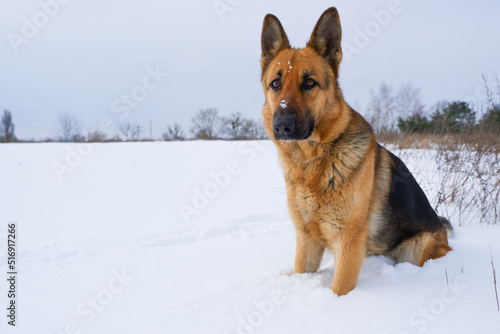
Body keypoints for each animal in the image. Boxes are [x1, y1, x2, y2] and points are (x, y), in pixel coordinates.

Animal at [260, 7, 452, 294]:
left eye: (309, 83)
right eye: (275, 84)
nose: (282, 126)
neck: (314, 161)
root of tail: (443, 231)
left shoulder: (349, 241)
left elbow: (340, 289)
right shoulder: (306, 241)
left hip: (419, 246)